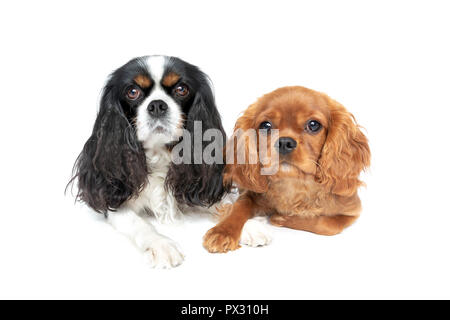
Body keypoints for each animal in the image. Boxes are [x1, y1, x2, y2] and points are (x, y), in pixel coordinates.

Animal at [70, 56, 232, 268]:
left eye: (182, 89)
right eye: (132, 92)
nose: (157, 105)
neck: (159, 153)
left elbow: (225, 204)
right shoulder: (115, 202)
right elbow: (138, 224)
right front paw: (162, 245)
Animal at [203, 86, 370, 254]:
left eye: (313, 124)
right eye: (266, 125)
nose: (284, 142)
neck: (294, 184)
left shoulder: (353, 211)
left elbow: (329, 225)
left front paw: (282, 218)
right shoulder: (252, 195)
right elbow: (240, 206)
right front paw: (223, 232)